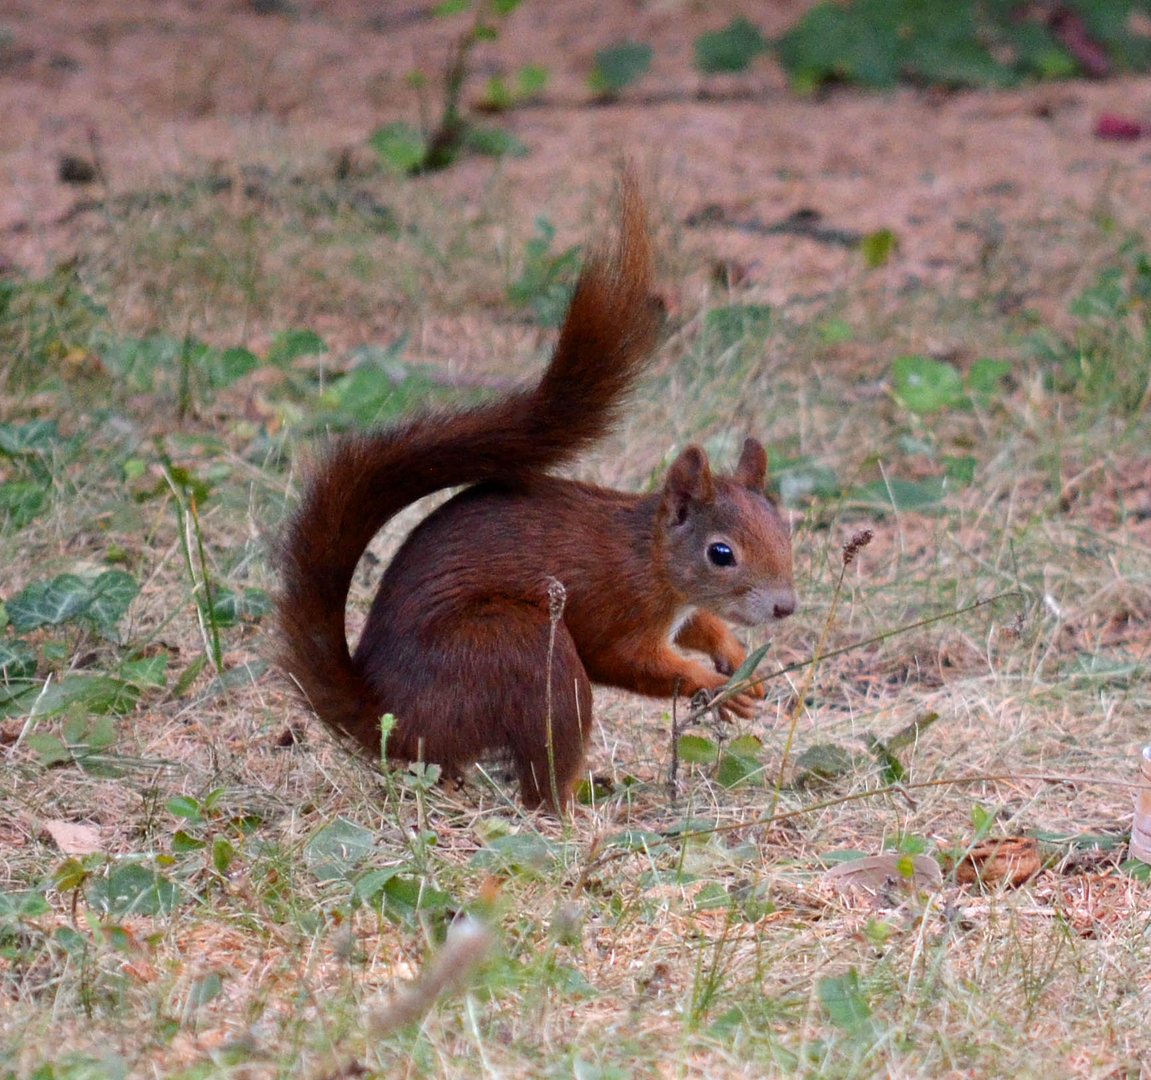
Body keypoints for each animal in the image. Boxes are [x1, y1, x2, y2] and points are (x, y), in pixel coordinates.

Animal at [279, 172, 801, 805]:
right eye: (720, 553)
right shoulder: (618, 610)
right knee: (541, 781)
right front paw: (714, 683)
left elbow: (701, 623)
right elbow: (630, 662)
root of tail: (392, 716)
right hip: (517, 650)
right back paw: (581, 800)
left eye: (785, 532)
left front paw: (735, 656)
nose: (784, 607)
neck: (650, 559)